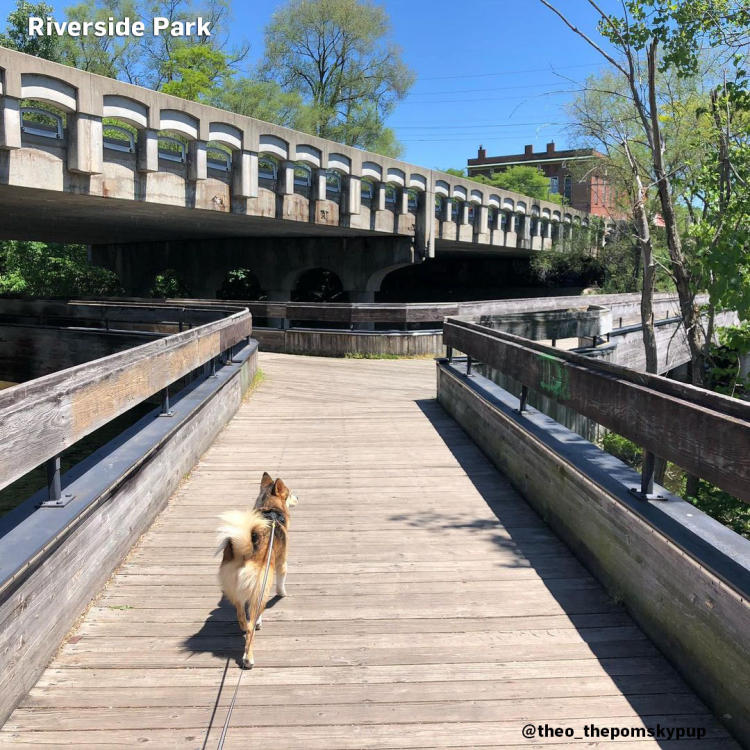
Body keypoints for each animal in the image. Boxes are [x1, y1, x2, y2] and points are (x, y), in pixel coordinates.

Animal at [217, 472, 300, 672]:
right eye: (290, 493)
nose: (299, 497)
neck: (270, 509)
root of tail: (244, 551)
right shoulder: (281, 563)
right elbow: (282, 582)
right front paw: (283, 593)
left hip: (236, 590)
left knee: (243, 617)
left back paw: (245, 627)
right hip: (263, 582)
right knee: (251, 629)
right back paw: (248, 658)